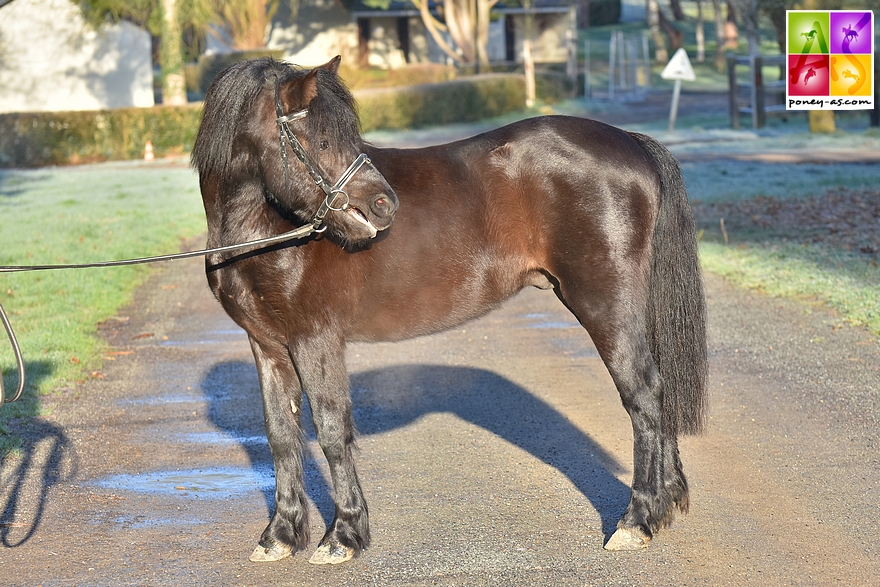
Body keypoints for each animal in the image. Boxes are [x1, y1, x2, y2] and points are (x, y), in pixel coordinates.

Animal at [192, 56, 708, 564]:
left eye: (344, 136)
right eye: (319, 139)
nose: (385, 205)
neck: (266, 230)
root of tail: (631, 143)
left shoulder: (315, 340)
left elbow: (332, 430)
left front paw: (343, 536)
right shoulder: (267, 344)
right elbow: (280, 434)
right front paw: (280, 535)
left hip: (606, 305)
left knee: (643, 394)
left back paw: (636, 521)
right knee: (657, 390)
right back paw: (665, 504)